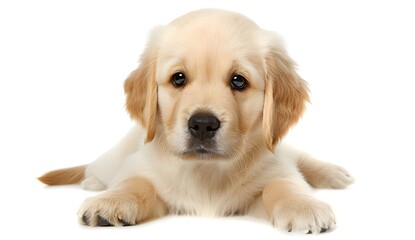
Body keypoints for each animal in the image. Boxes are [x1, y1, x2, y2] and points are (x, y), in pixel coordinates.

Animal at [38, 8, 354, 233]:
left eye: (239, 81)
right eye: (178, 78)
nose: (203, 124)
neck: (207, 171)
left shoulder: (274, 166)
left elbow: (283, 184)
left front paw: (302, 205)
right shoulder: (143, 167)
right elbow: (135, 182)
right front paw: (112, 201)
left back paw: (332, 173)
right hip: (115, 156)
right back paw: (92, 182)